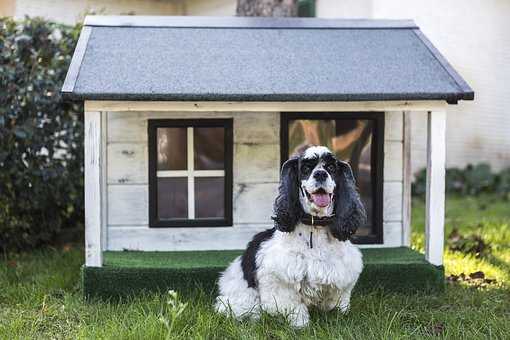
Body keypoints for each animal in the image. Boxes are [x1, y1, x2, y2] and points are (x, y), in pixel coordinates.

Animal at [215, 145, 366, 326]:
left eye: (331, 168)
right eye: (306, 169)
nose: (320, 174)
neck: (315, 226)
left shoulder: (342, 278)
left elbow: (337, 302)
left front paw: (338, 318)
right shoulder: (279, 279)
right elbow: (293, 307)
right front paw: (300, 325)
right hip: (241, 296)